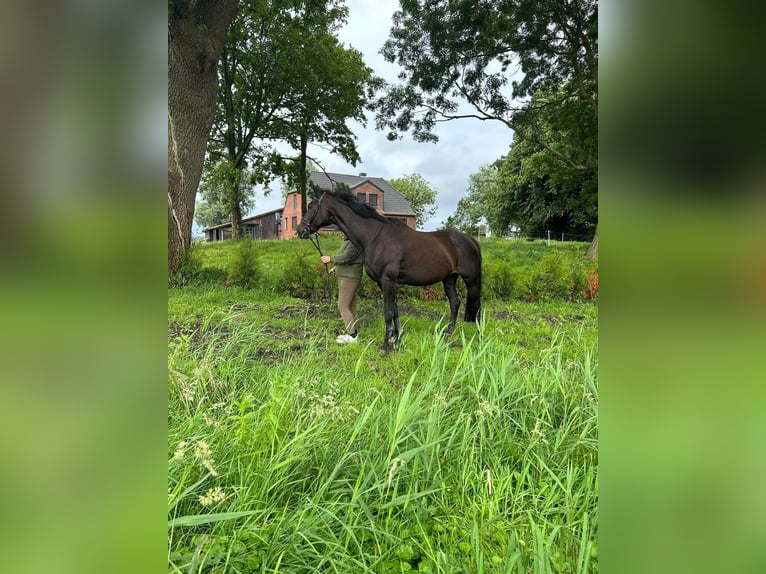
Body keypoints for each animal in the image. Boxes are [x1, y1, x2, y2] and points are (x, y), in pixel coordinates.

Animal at [298, 187, 484, 354]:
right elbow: (394, 310)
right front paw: (397, 340)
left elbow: (387, 311)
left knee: (477, 304)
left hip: (471, 279)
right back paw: (448, 334)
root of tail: (470, 239)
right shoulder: (384, 283)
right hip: (449, 278)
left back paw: (479, 337)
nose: (300, 230)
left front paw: (386, 346)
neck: (375, 237)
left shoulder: (388, 280)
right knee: (455, 303)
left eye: (311, 206)